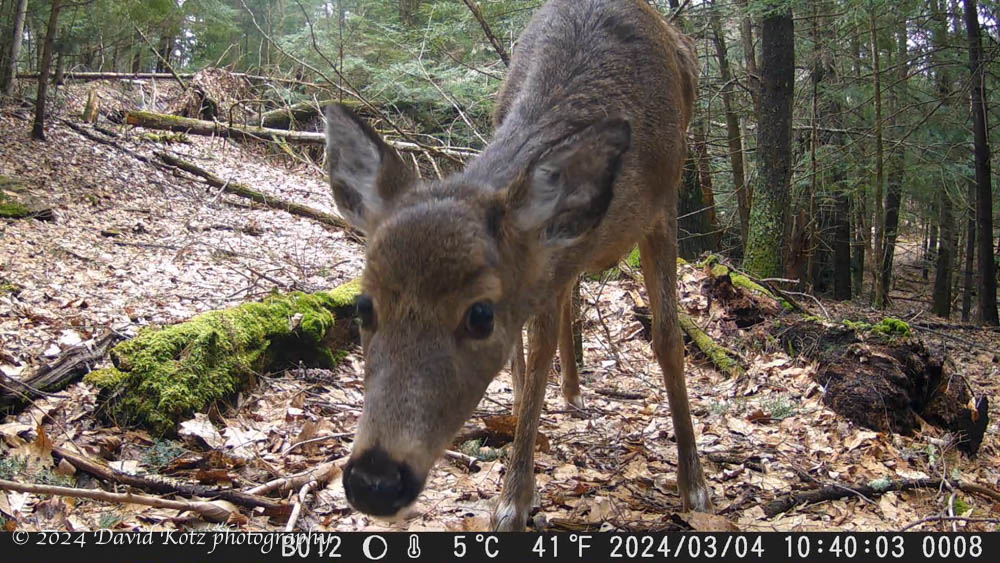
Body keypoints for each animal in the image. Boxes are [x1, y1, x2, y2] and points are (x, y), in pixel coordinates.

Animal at [325, 0, 709, 531]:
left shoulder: (665, 201)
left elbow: (669, 336)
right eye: (363, 306)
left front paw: (694, 485)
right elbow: (538, 340)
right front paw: (515, 496)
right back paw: (553, 392)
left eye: (480, 314)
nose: (374, 480)